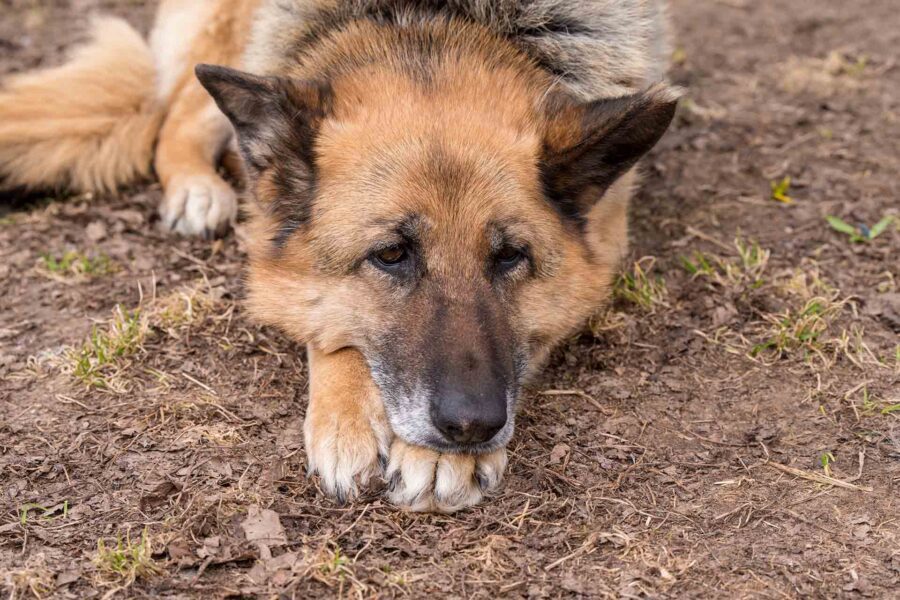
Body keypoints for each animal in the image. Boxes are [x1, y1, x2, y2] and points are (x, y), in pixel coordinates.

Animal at [0, 2, 676, 512]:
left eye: (510, 257)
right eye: (391, 254)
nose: (471, 428)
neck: (438, 21)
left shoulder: (598, 257)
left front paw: (434, 457)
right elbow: (329, 325)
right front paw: (352, 419)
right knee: (178, 118)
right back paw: (197, 188)